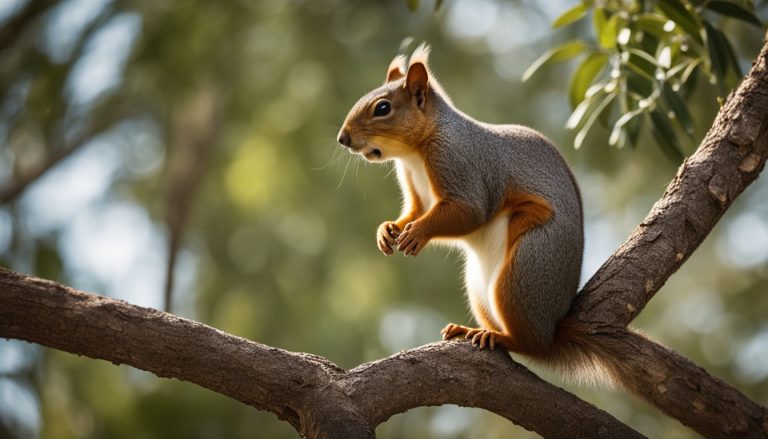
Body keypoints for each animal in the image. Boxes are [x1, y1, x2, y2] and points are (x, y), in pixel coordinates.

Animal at [338, 44, 621, 383]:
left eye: (382, 108)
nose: (342, 138)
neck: (414, 154)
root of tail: (553, 327)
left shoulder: (459, 162)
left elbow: (469, 211)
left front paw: (417, 233)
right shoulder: (415, 191)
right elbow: (414, 212)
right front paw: (387, 230)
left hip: (526, 269)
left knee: (531, 344)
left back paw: (500, 336)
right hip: (479, 285)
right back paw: (468, 330)